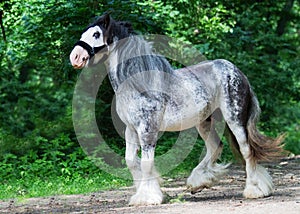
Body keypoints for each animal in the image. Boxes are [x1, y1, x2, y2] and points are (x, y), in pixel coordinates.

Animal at [70, 13, 284, 206]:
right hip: (204, 121)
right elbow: (131, 161)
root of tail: (236, 71)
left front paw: (148, 198)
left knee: (246, 150)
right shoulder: (131, 129)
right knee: (215, 146)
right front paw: (146, 193)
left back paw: (254, 190)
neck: (137, 84)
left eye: (96, 34)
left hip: (235, 119)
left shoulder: (147, 129)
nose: (75, 57)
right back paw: (198, 182)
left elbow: (146, 163)